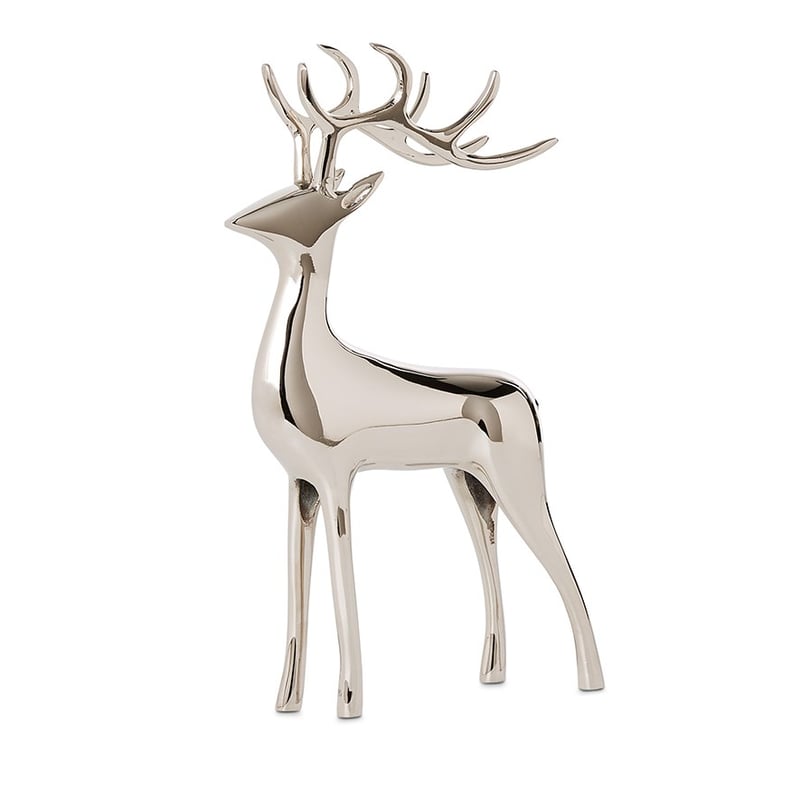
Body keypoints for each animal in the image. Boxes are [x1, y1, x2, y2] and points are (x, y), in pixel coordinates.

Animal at [225, 44, 604, 718]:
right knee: (490, 547)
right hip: (468, 479)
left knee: (564, 564)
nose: (238, 219)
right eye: (291, 183)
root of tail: (526, 394)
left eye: (311, 200)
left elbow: (342, 577)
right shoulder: (297, 481)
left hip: (522, 478)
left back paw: (591, 681)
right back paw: (492, 674)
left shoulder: (337, 475)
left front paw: (349, 702)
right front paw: (286, 702)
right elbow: (296, 581)